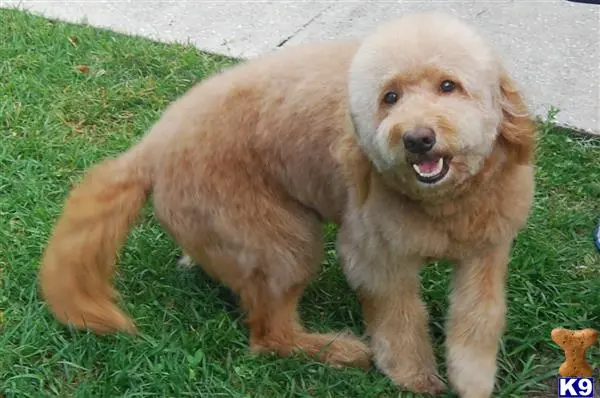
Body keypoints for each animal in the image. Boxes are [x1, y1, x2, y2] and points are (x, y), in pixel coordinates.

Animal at [39, 12, 536, 398]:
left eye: (449, 86)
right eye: (390, 97)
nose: (416, 138)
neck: (444, 203)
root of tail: (151, 147)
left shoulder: (486, 251)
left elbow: (478, 320)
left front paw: (473, 381)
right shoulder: (377, 260)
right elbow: (400, 321)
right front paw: (414, 376)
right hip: (282, 241)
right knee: (269, 336)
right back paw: (336, 350)